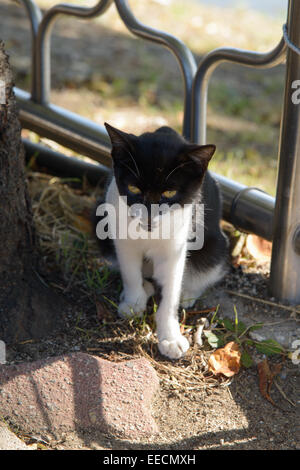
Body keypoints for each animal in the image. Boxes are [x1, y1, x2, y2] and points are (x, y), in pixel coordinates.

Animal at [94, 123, 227, 358]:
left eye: (170, 192)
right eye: (134, 188)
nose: (149, 216)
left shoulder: (176, 247)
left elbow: (171, 290)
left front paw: (170, 337)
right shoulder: (122, 238)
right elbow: (129, 271)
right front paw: (133, 302)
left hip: (215, 249)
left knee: (208, 268)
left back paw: (188, 293)